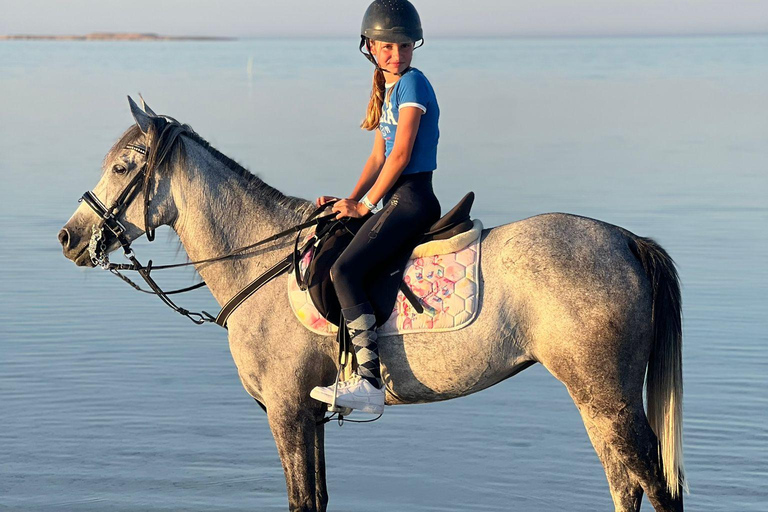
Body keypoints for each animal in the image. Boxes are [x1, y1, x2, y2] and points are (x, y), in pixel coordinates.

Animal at [58, 98, 685, 512]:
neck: (262, 260)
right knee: (629, 486)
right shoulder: (308, 413)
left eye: (122, 166)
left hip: (605, 399)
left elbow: (301, 501)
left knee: (653, 486)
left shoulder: (286, 410)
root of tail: (625, 240)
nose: (68, 237)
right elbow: (317, 499)